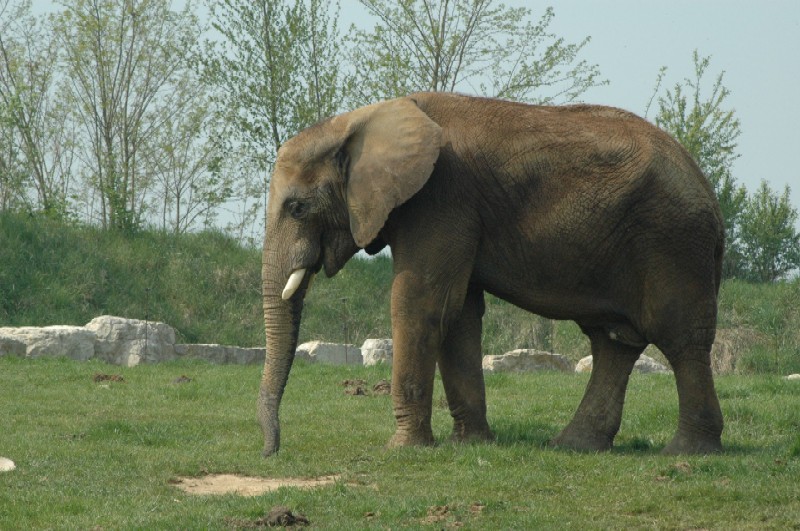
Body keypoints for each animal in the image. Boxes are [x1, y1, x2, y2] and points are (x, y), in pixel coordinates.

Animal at [258, 91, 724, 458]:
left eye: (297, 207)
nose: (271, 452)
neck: (362, 119)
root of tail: (707, 188)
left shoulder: (439, 198)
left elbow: (423, 305)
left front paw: (402, 449)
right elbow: (459, 313)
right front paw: (471, 444)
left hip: (673, 242)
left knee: (679, 338)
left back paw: (687, 452)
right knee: (613, 342)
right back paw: (574, 446)